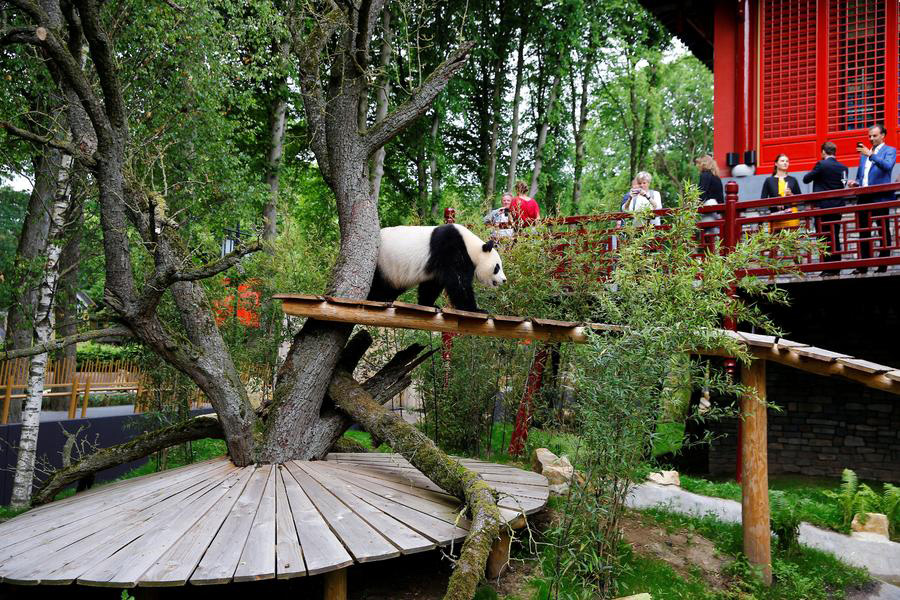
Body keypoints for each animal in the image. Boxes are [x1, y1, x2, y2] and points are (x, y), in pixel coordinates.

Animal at [368, 224, 507, 312]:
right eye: (497, 267)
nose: (504, 280)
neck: (471, 247)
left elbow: (432, 285)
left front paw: (429, 304)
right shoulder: (451, 249)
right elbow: (459, 282)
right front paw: (475, 309)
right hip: (383, 263)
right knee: (378, 284)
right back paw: (376, 298)